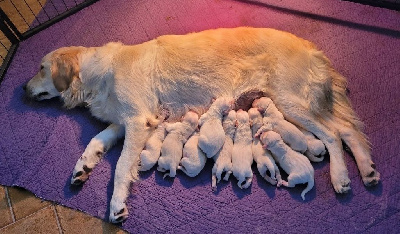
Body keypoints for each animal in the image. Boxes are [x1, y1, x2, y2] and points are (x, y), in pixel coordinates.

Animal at [23, 26, 380, 222]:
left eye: (40, 68)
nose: (22, 89)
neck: (100, 72)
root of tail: (312, 49)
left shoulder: (137, 121)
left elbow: (122, 167)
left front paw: (117, 206)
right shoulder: (126, 123)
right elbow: (94, 142)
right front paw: (81, 169)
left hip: (291, 101)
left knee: (333, 134)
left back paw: (341, 177)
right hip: (295, 105)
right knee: (347, 129)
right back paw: (368, 171)